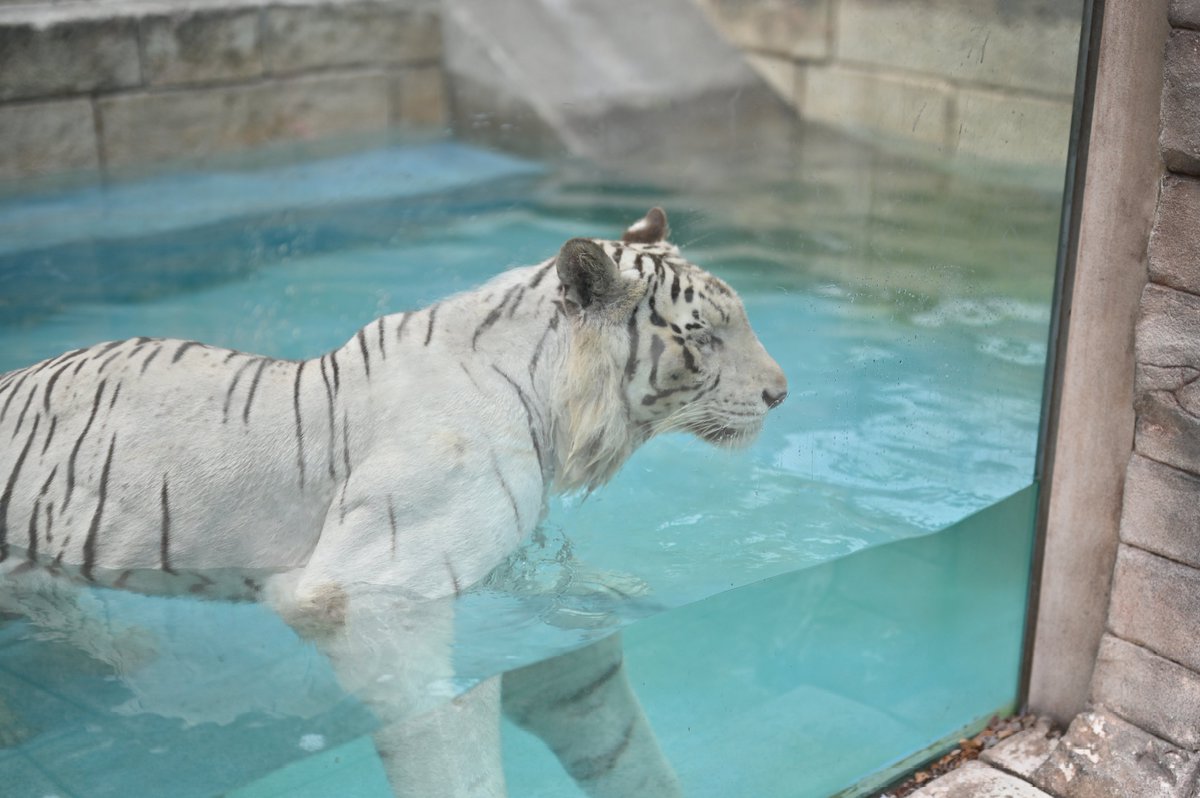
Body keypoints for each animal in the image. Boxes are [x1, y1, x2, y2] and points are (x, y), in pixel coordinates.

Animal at [0, 210, 787, 796]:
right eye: (705, 336)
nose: (781, 393)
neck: (550, 399)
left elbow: (614, 733)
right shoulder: (364, 589)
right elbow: (443, 726)